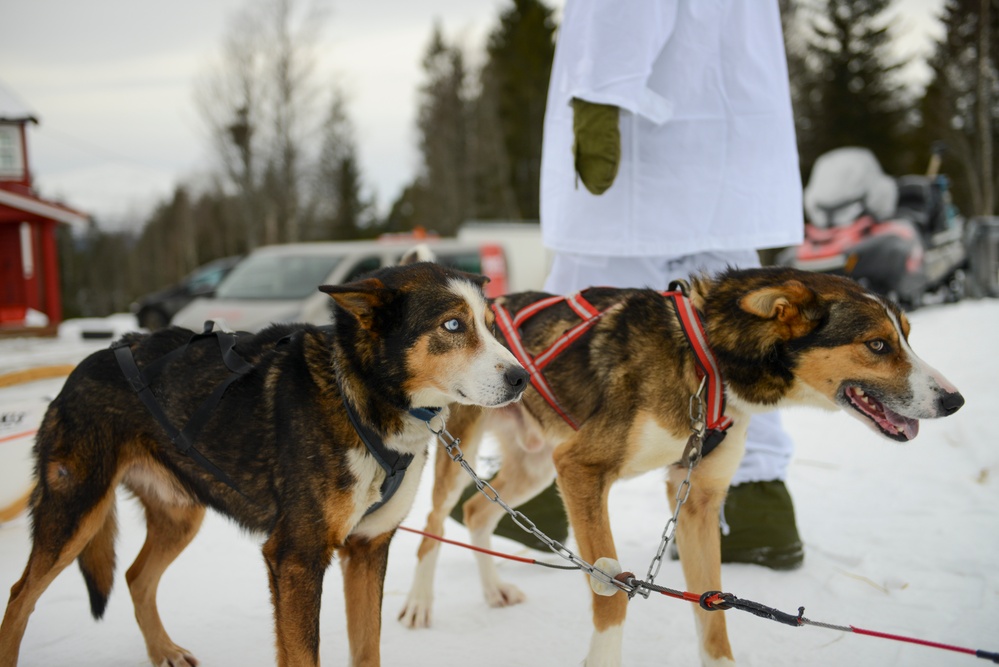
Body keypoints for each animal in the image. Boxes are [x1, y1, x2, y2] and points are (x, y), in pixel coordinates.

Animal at [0, 262, 532, 667]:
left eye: (491, 324)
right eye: (452, 325)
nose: (522, 377)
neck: (359, 397)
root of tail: (84, 366)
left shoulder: (366, 548)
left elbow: (368, 650)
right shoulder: (296, 558)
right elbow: (303, 655)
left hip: (179, 516)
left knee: (135, 578)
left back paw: (163, 651)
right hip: (75, 512)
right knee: (19, 598)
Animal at [400, 266, 968, 664]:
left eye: (908, 336)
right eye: (877, 344)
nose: (954, 400)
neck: (702, 356)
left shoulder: (697, 500)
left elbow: (712, 611)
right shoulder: (582, 469)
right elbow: (612, 595)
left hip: (536, 467)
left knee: (476, 512)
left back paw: (494, 589)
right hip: (468, 449)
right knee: (435, 522)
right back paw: (419, 604)